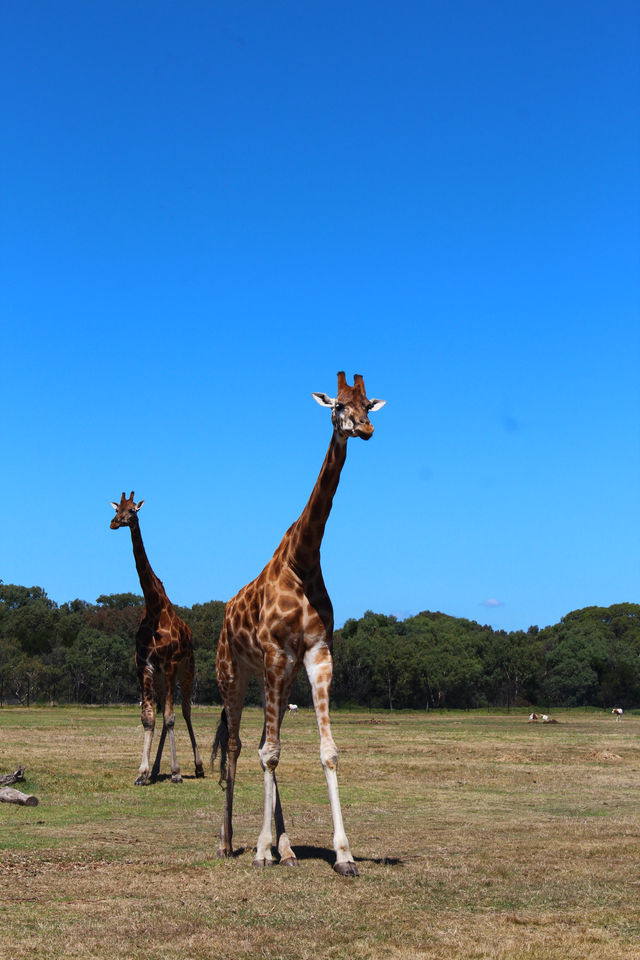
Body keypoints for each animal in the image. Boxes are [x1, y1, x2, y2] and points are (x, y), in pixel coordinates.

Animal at [110, 496, 204, 788]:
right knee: (164, 713)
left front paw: (176, 772)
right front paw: (142, 773)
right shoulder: (145, 666)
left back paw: (197, 767)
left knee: (185, 711)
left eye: (132, 511)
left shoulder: (172, 664)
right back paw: (156, 770)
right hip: (163, 678)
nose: (114, 523)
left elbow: (172, 717)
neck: (153, 607)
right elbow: (149, 718)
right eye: (117, 510)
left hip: (187, 669)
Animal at [214, 372, 384, 872]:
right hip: (233, 674)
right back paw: (228, 843)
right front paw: (259, 850)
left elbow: (326, 752)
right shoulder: (274, 653)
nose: (365, 428)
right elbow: (269, 754)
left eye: (366, 403)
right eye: (338, 406)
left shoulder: (315, 654)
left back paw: (284, 848)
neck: (303, 559)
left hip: (279, 676)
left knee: (257, 744)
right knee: (237, 747)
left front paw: (343, 855)